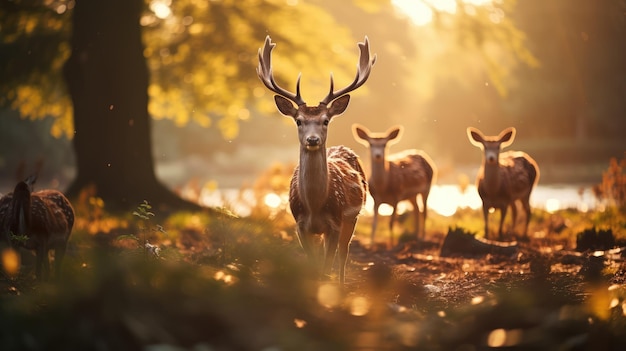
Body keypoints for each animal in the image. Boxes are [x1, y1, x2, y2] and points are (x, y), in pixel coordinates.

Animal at [255, 35, 372, 286]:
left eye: (325, 120)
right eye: (299, 120)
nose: (312, 139)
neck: (315, 206)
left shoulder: (335, 223)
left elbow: (327, 266)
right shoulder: (300, 226)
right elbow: (314, 266)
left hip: (353, 217)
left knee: (344, 254)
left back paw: (341, 284)